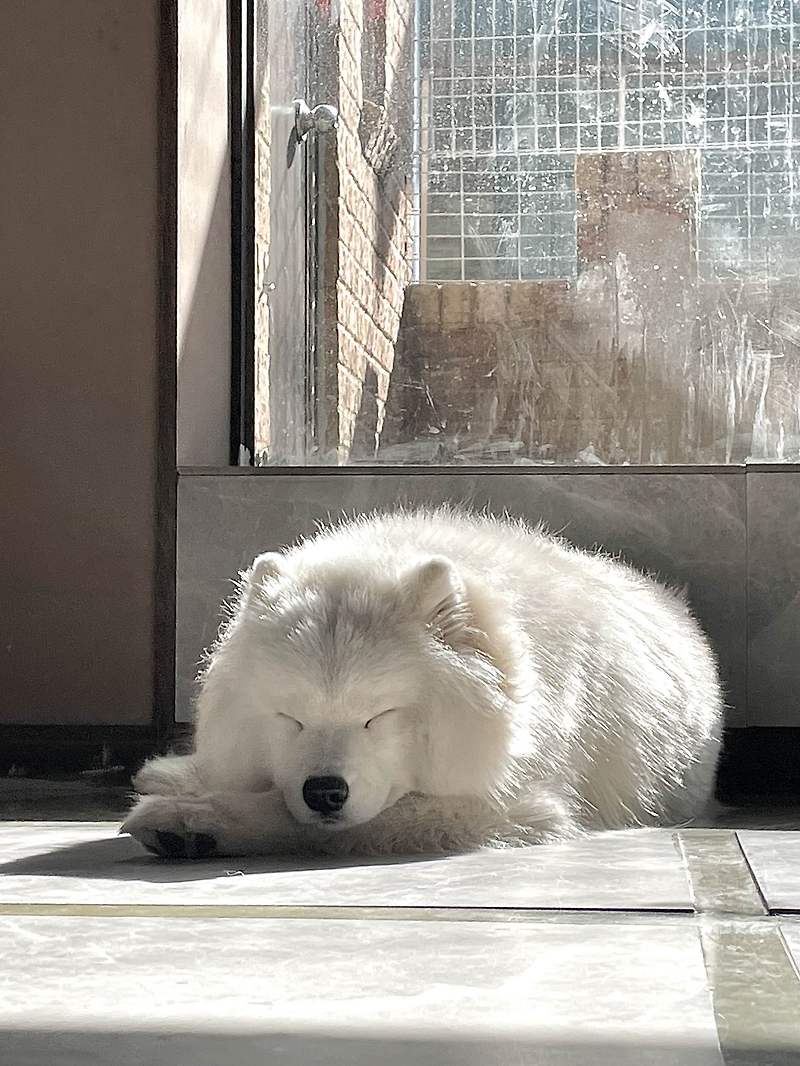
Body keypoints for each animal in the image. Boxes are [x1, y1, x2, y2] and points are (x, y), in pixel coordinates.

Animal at [123, 505, 725, 857]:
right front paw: (185, 791)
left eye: (379, 715)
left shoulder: (507, 805)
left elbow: (296, 816)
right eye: (290, 718)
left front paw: (194, 820)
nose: (324, 791)